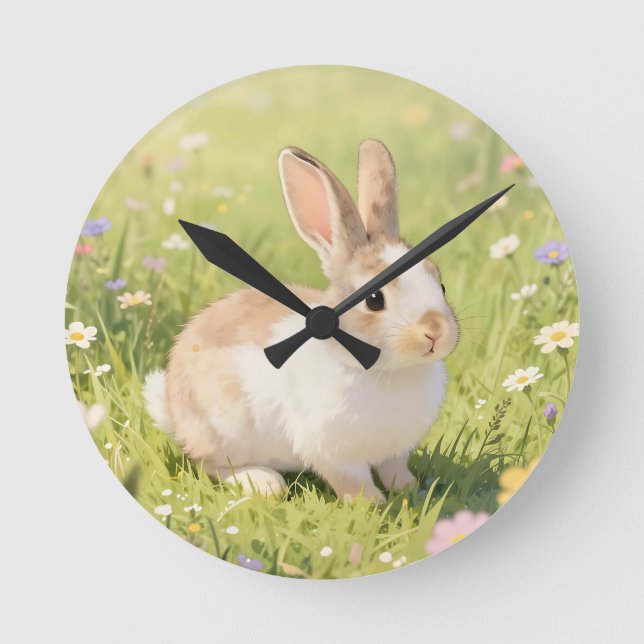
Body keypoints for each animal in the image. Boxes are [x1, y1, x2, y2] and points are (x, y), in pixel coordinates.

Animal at [144, 139, 459, 503]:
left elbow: (395, 470)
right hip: (224, 428)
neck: (391, 373)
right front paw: (372, 504)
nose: (435, 331)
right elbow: (352, 481)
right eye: (374, 300)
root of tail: (173, 410)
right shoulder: (332, 452)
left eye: (441, 285)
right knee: (210, 465)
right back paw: (264, 483)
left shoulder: (395, 451)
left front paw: (411, 491)